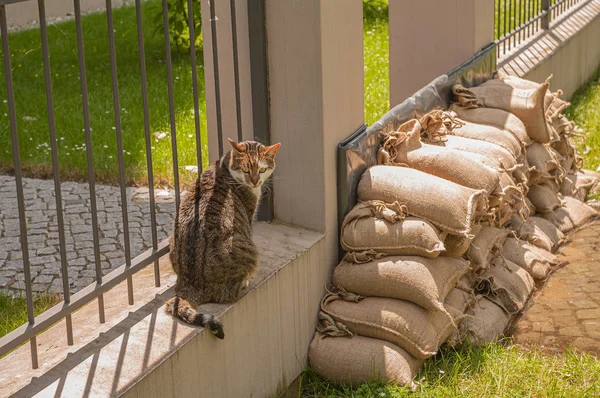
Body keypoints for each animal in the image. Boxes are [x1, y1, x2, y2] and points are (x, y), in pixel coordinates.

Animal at [166, 138, 282, 338]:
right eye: (246, 170)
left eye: (261, 170)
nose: (254, 181)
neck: (225, 166)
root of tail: (190, 284)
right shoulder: (248, 215)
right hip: (246, 250)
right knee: (228, 293)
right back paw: (244, 282)